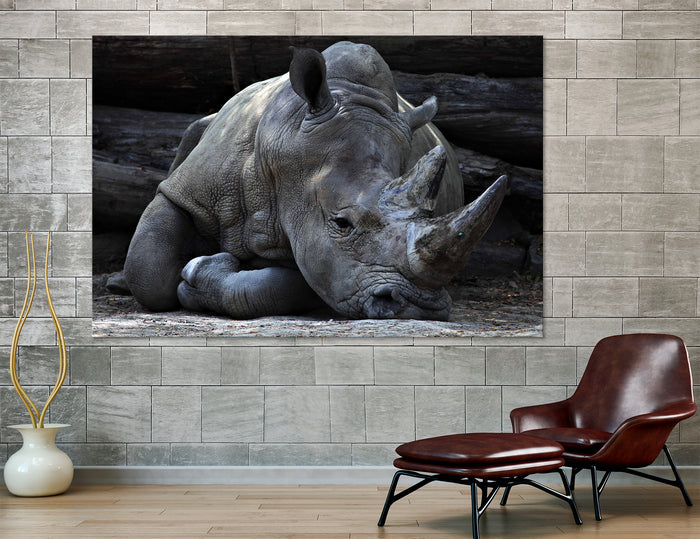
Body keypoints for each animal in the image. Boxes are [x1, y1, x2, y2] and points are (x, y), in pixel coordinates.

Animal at [123, 41, 507, 321]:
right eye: (341, 223)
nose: (418, 307)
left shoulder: (324, 254)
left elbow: (291, 283)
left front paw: (202, 272)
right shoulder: (189, 191)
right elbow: (147, 270)